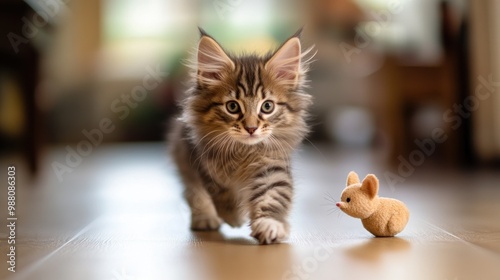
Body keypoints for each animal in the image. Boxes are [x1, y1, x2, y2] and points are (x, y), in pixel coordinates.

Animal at [172, 27, 312, 244]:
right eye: (232, 107)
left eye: (267, 106)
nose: (251, 128)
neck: (243, 151)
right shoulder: (201, 161)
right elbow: (218, 191)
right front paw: (234, 215)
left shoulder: (271, 166)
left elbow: (273, 195)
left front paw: (269, 224)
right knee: (193, 193)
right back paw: (204, 218)